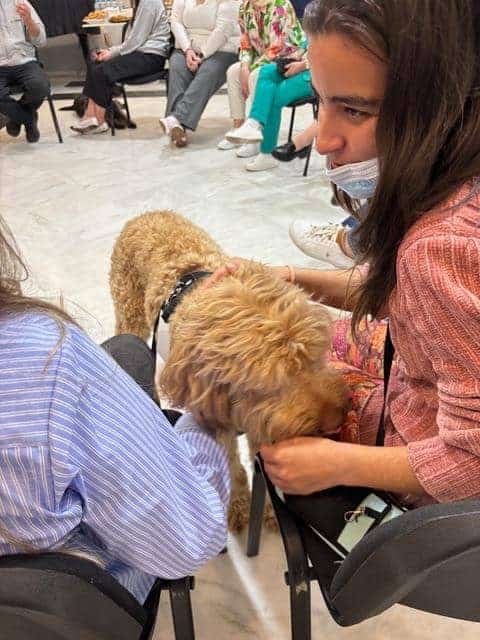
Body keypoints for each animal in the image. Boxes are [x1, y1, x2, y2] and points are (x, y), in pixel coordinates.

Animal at [110, 210, 349, 531]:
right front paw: (239, 506)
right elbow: (234, 470)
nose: (337, 419)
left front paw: (269, 510)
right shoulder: (216, 421)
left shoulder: (261, 423)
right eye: (274, 381)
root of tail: (147, 214)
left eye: (316, 355)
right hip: (130, 311)